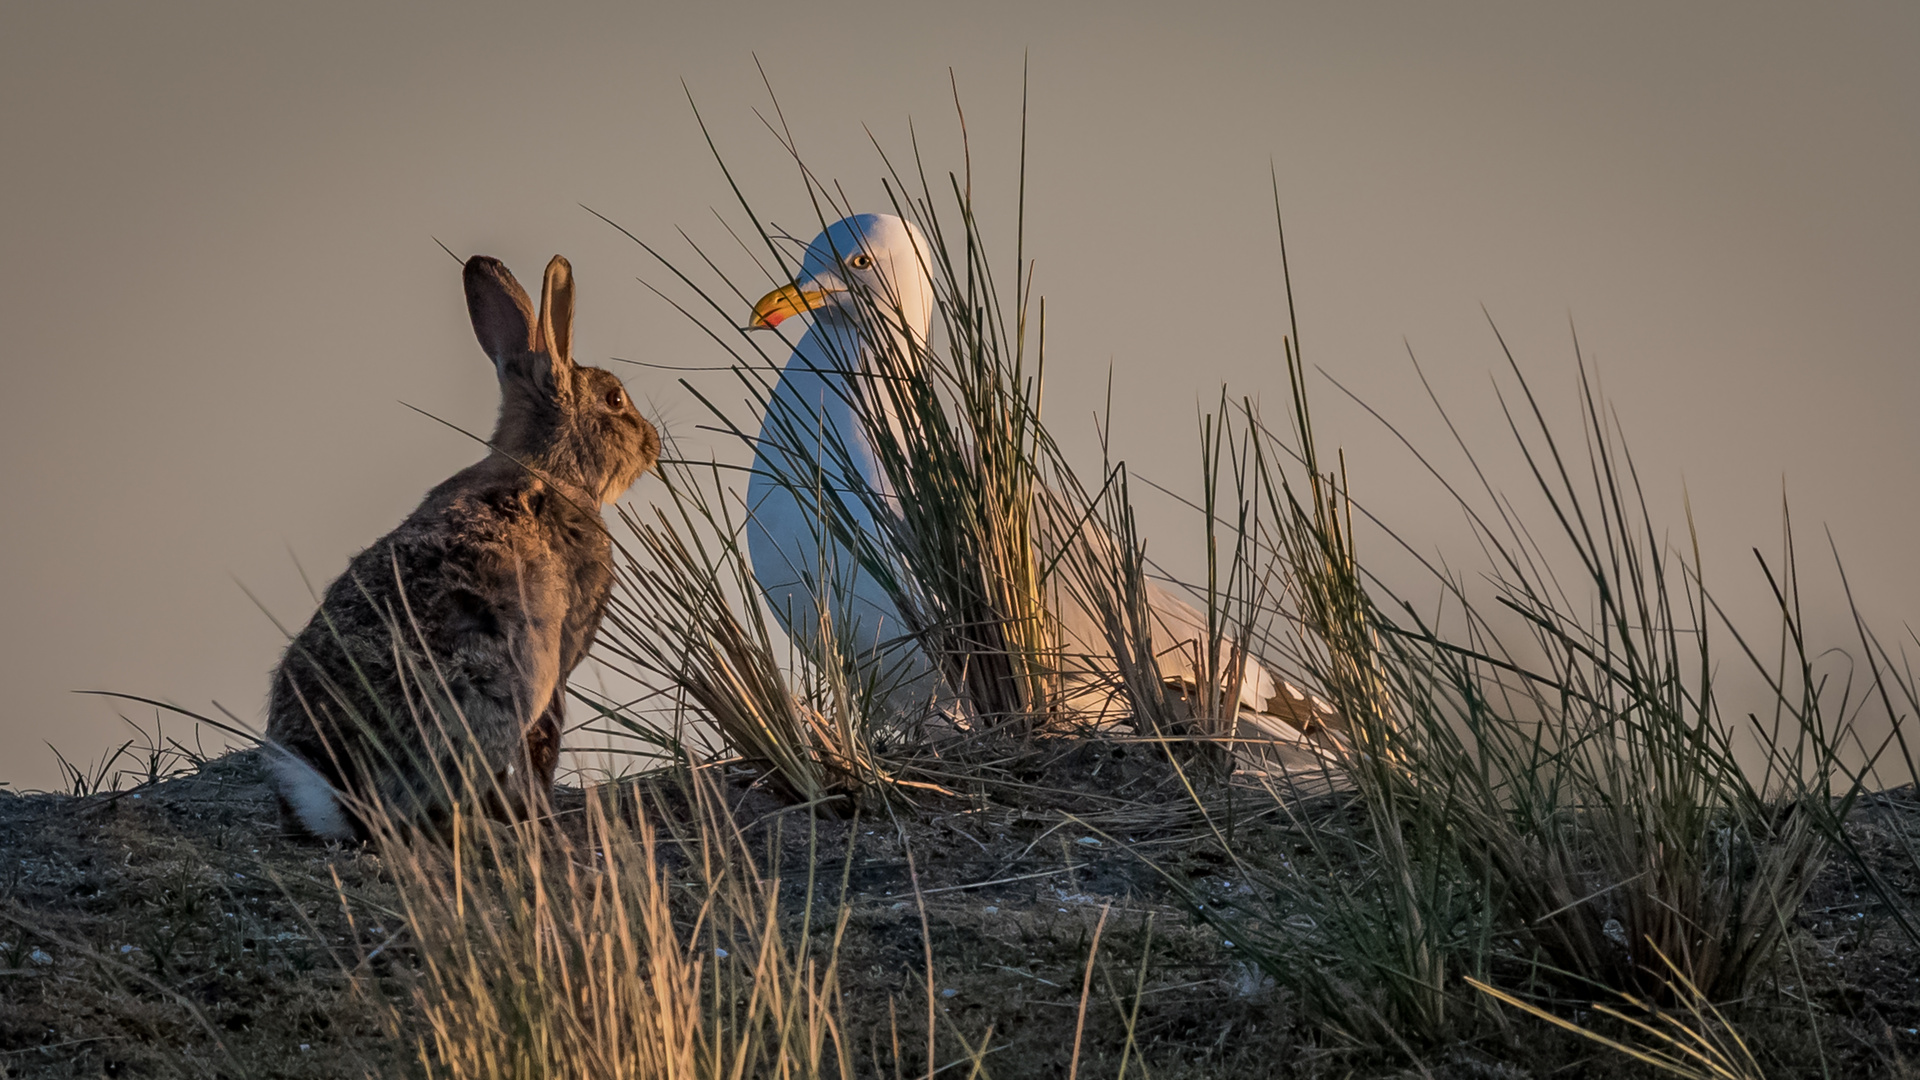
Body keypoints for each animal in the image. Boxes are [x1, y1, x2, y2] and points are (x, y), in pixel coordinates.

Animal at [266, 253, 660, 841]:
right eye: (614, 400)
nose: (653, 443)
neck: (551, 467)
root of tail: (343, 789)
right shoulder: (561, 659)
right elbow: (546, 743)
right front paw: (545, 811)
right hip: (485, 685)